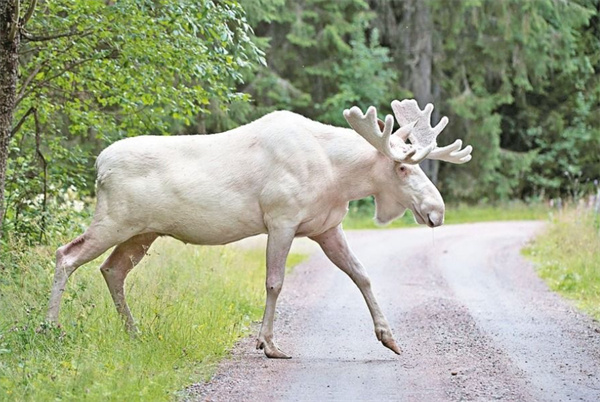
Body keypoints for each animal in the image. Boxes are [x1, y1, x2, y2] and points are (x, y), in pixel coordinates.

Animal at [44, 99, 472, 358]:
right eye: (402, 167)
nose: (437, 211)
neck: (338, 177)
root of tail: (99, 164)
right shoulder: (281, 218)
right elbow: (275, 282)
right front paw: (268, 344)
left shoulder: (326, 227)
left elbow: (362, 275)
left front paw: (389, 337)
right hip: (114, 220)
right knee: (66, 254)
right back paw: (51, 328)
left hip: (142, 232)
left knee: (112, 270)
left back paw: (133, 333)